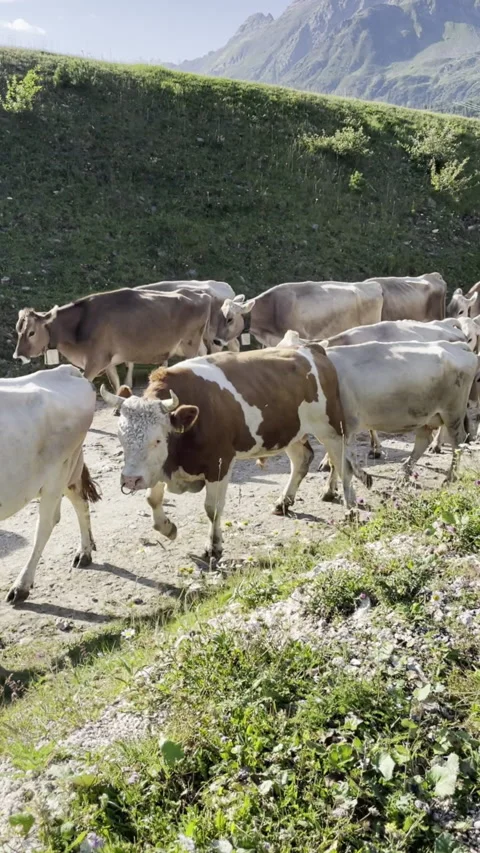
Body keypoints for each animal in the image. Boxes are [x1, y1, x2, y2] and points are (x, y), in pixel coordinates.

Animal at [0, 365, 100, 604]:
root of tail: (65, 370)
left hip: (57, 473)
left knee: (46, 524)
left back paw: (21, 586)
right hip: (69, 471)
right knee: (80, 502)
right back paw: (85, 552)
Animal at [13, 288, 214, 392]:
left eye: (31, 332)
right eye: (17, 330)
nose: (17, 355)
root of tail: (201, 293)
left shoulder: (95, 361)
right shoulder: (108, 361)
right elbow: (116, 382)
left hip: (189, 344)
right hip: (194, 344)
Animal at [100, 348, 372, 562]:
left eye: (157, 440)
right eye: (121, 437)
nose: (130, 480)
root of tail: (313, 350)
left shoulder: (218, 465)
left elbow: (212, 509)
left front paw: (213, 547)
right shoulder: (159, 468)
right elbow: (153, 500)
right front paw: (168, 528)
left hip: (331, 429)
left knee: (343, 466)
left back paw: (350, 509)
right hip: (289, 432)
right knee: (301, 460)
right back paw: (283, 502)